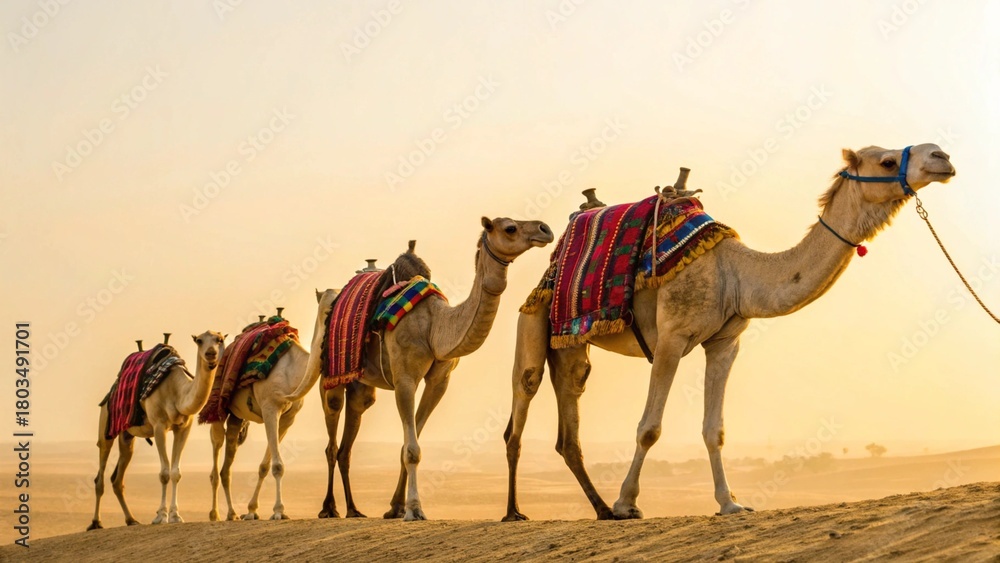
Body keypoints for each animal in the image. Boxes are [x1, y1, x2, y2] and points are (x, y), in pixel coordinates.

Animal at [89, 330, 226, 530]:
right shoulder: (159, 426)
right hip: (106, 423)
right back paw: (96, 522)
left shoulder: (183, 428)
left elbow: (176, 473)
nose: (210, 354)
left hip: (127, 436)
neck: (178, 392)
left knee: (117, 479)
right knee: (100, 474)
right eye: (199, 340)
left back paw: (131, 520)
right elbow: (164, 473)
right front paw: (161, 516)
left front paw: (176, 516)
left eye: (220, 339)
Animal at [208, 292, 337, 521]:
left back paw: (232, 513)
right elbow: (277, 465)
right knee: (216, 449)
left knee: (228, 458)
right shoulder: (270, 409)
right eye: (327, 307)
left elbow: (266, 465)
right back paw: (215, 514)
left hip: (236, 417)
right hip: (219, 408)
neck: (294, 372)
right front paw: (278, 511)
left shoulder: (288, 418)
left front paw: (253, 510)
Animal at [317, 217, 554, 521]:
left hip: (361, 384)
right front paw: (414, 510)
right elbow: (412, 449)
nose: (544, 229)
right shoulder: (405, 379)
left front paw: (395, 507)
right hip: (331, 376)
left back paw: (354, 509)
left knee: (349, 437)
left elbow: (407, 444)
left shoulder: (440, 381)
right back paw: (329, 508)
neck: (435, 326)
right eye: (509, 228)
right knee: (332, 437)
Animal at [502, 144, 956, 521]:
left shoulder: (724, 343)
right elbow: (649, 427)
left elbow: (714, 429)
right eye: (886, 161)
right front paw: (627, 502)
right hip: (534, 316)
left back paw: (599, 510)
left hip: (570, 347)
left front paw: (730, 503)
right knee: (522, 402)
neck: (735, 273)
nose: (942, 156)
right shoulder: (671, 338)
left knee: (569, 422)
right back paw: (518, 513)